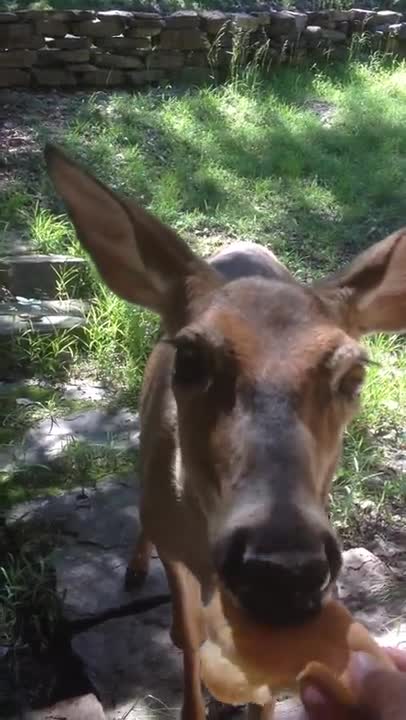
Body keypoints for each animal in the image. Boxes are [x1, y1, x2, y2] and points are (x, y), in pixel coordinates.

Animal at [45, 143, 406, 720]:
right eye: (189, 357)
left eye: (354, 374)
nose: (282, 567)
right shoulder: (177, 550)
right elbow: (191, 638)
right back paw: (135, 572)